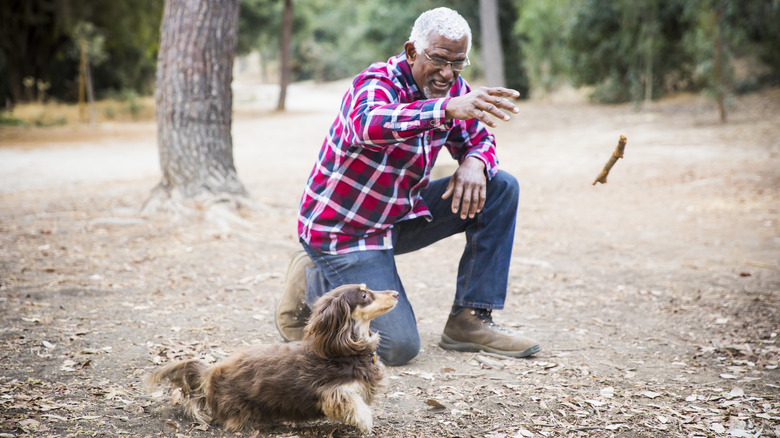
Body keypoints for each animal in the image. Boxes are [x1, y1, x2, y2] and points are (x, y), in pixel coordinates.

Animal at [148, 284, 396, 434]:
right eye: (363, 295)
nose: (396, 293)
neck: (344, 350)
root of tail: (211, 373)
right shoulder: (329, 391)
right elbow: (351, 401)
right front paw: (365, 420)